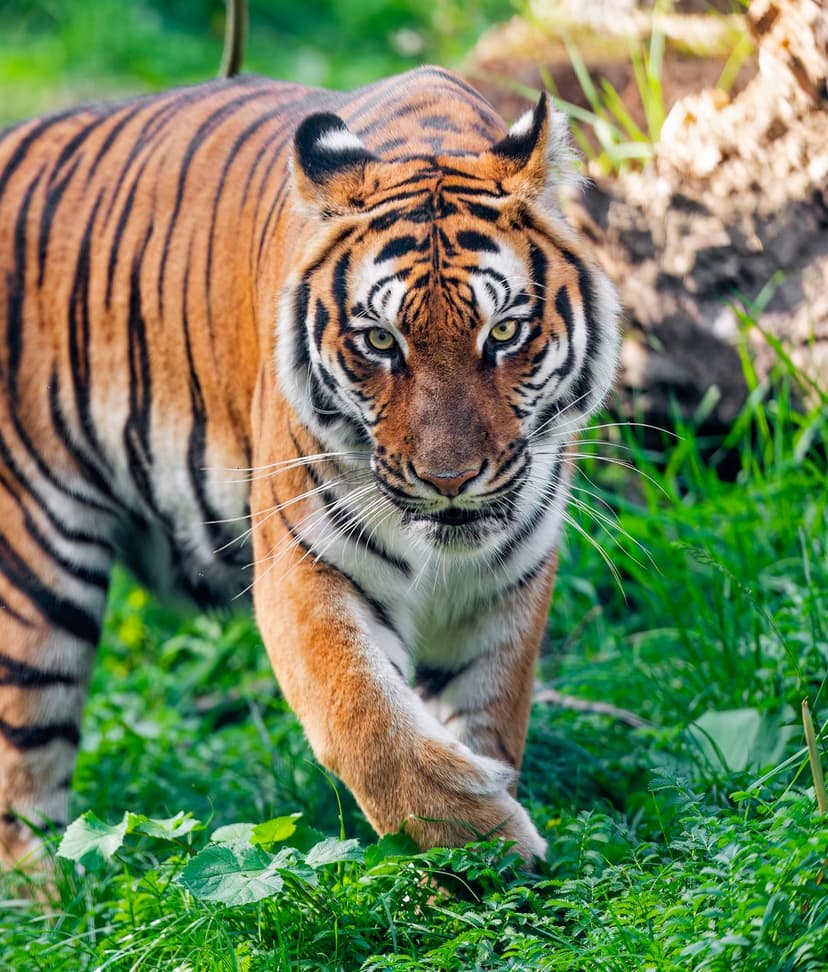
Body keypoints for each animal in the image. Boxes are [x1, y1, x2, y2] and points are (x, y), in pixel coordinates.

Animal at [0, 63, 620, 867]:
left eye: (505, 332)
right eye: (380, 341)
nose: (449, 481)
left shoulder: (507, 582)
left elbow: (486, 713)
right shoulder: (305, 564)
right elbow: (366, 720)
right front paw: (480, 842)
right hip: (32, 573)